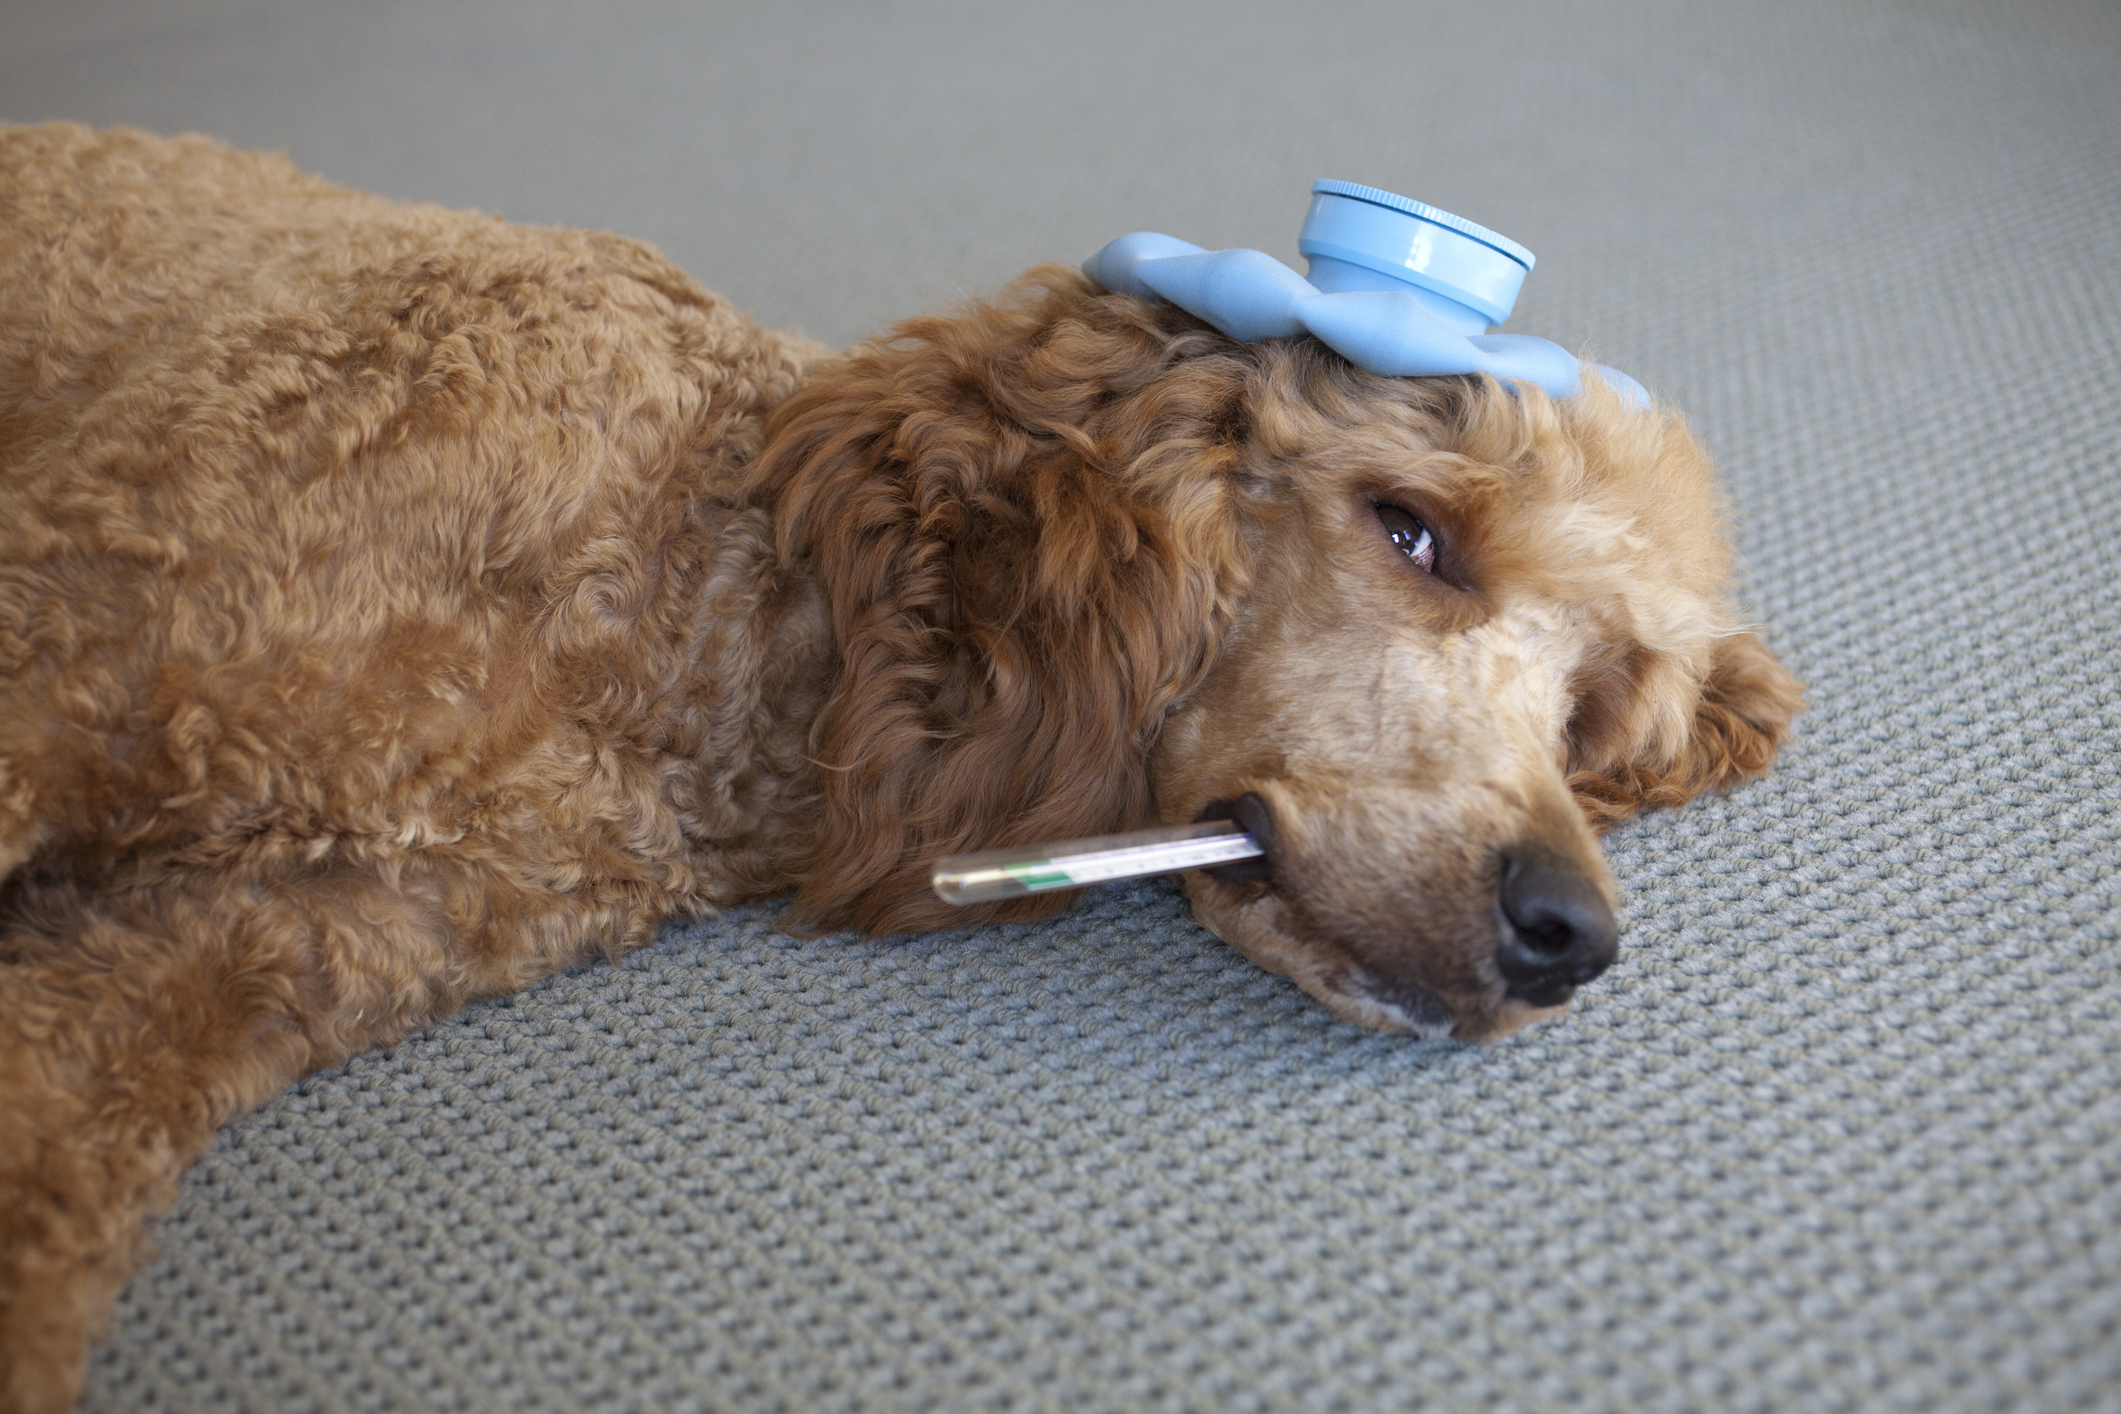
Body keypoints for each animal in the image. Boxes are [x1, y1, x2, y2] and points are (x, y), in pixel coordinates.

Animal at [0, 124, 1798, 1414]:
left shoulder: (226, 960)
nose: (1571, 932)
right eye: (1412, 529)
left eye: (1589, 710)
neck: (709, 607)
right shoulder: (54, 660)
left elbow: (46, 1169)